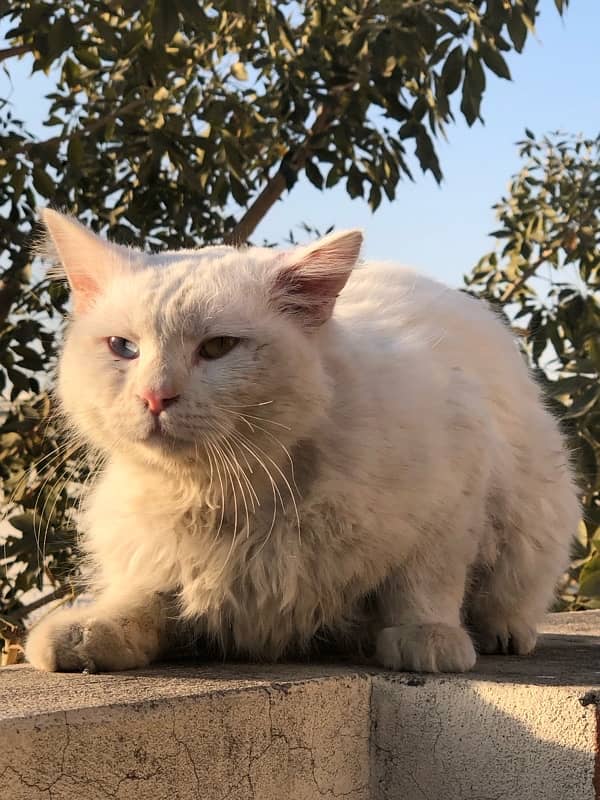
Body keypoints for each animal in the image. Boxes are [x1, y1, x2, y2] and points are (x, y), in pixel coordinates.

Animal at [25, 209, 580, 672]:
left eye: (219, 347)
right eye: (123, 347)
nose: (155, 396)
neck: (230, 490)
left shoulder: (453, 491)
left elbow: (425, 581)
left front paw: (428, 636)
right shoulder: (161, 560)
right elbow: (141, 599)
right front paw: (87, 631)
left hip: (535, 515)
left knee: (507, 596)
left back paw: (501, 633)